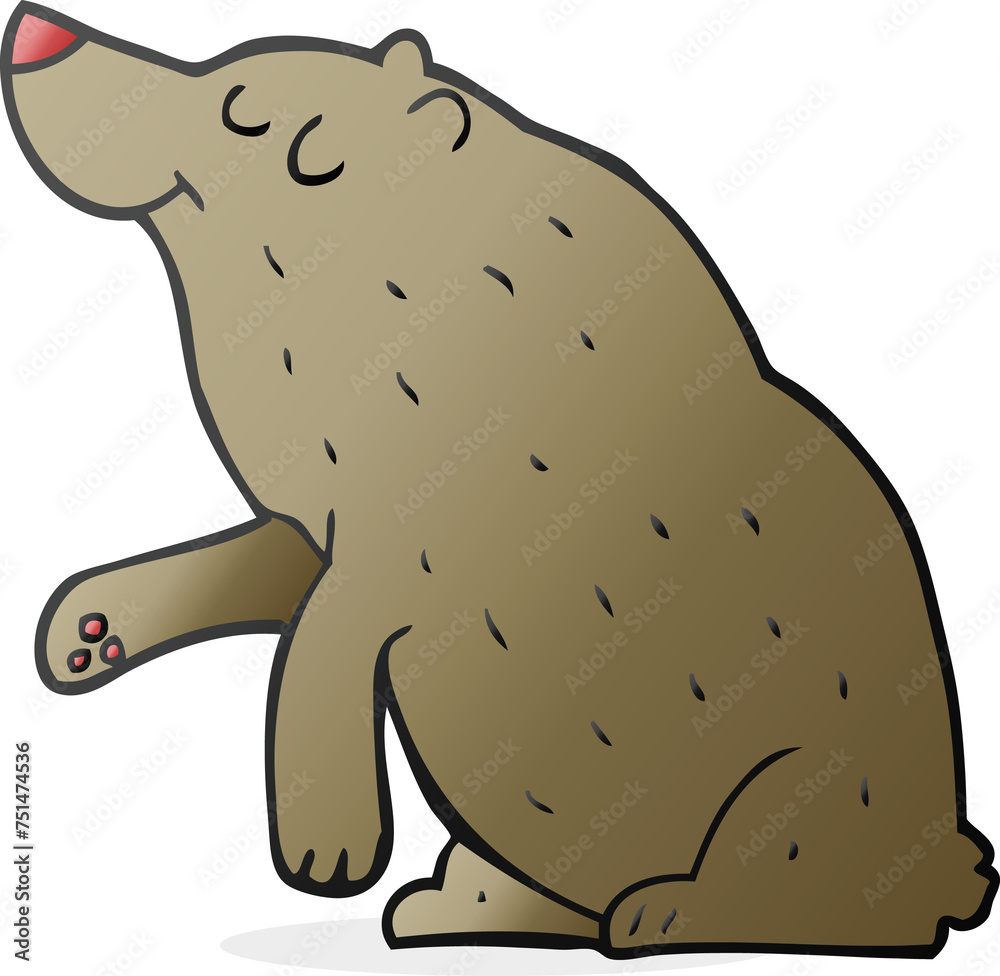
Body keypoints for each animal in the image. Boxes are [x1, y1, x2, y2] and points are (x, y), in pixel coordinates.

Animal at [3, 1, 995, 958]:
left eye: (238, 107)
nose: (38, 29)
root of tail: (953, 861)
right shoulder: (325, 528)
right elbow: (241, 570)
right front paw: (80, 634)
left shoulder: (397, 555)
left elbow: (315, 668)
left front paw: (327, 858)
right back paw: (456, 904)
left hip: (804, 780)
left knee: (797, 890)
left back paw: (657, 914)